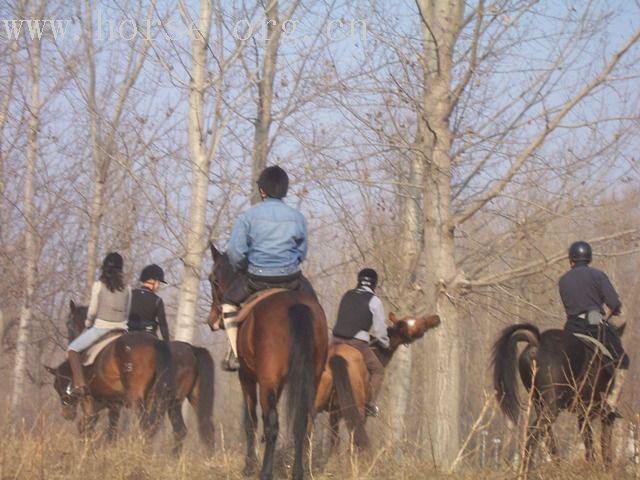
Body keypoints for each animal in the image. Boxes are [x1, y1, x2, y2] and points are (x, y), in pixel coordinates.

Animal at [51, 300, 215, 454]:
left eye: (69, 323)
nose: (67, 414)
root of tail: (191, 349)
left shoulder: (96, 402)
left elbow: (95, 429)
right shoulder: (108, 404)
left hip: (143, 400)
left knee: (146, 427)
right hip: (178, 401)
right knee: (184, 429)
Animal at [209, 246, 330, 480]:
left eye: (213, 279)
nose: (211, 321)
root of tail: (296, 305)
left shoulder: (247, 377)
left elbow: (251, 420)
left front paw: (249, 464)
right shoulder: (278, 382)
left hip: (265, 380)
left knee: (272, 424)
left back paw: (265, 472)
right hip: (310, 379)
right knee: (302, 423)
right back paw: (298, 471)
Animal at [314, 314, 440, 452]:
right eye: (415, 327)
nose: (435, 318)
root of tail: (335, 357)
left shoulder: (334, 412)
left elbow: (334, 444)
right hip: (357, 409)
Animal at [490, 320, 624, 470]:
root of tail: (537, 341)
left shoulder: (583, 414)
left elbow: (588, 438)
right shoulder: (591, 411)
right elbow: (599, 438)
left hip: (540, 404)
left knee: (547, 437)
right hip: (553, 407)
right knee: (535, 433)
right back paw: (527, 469)